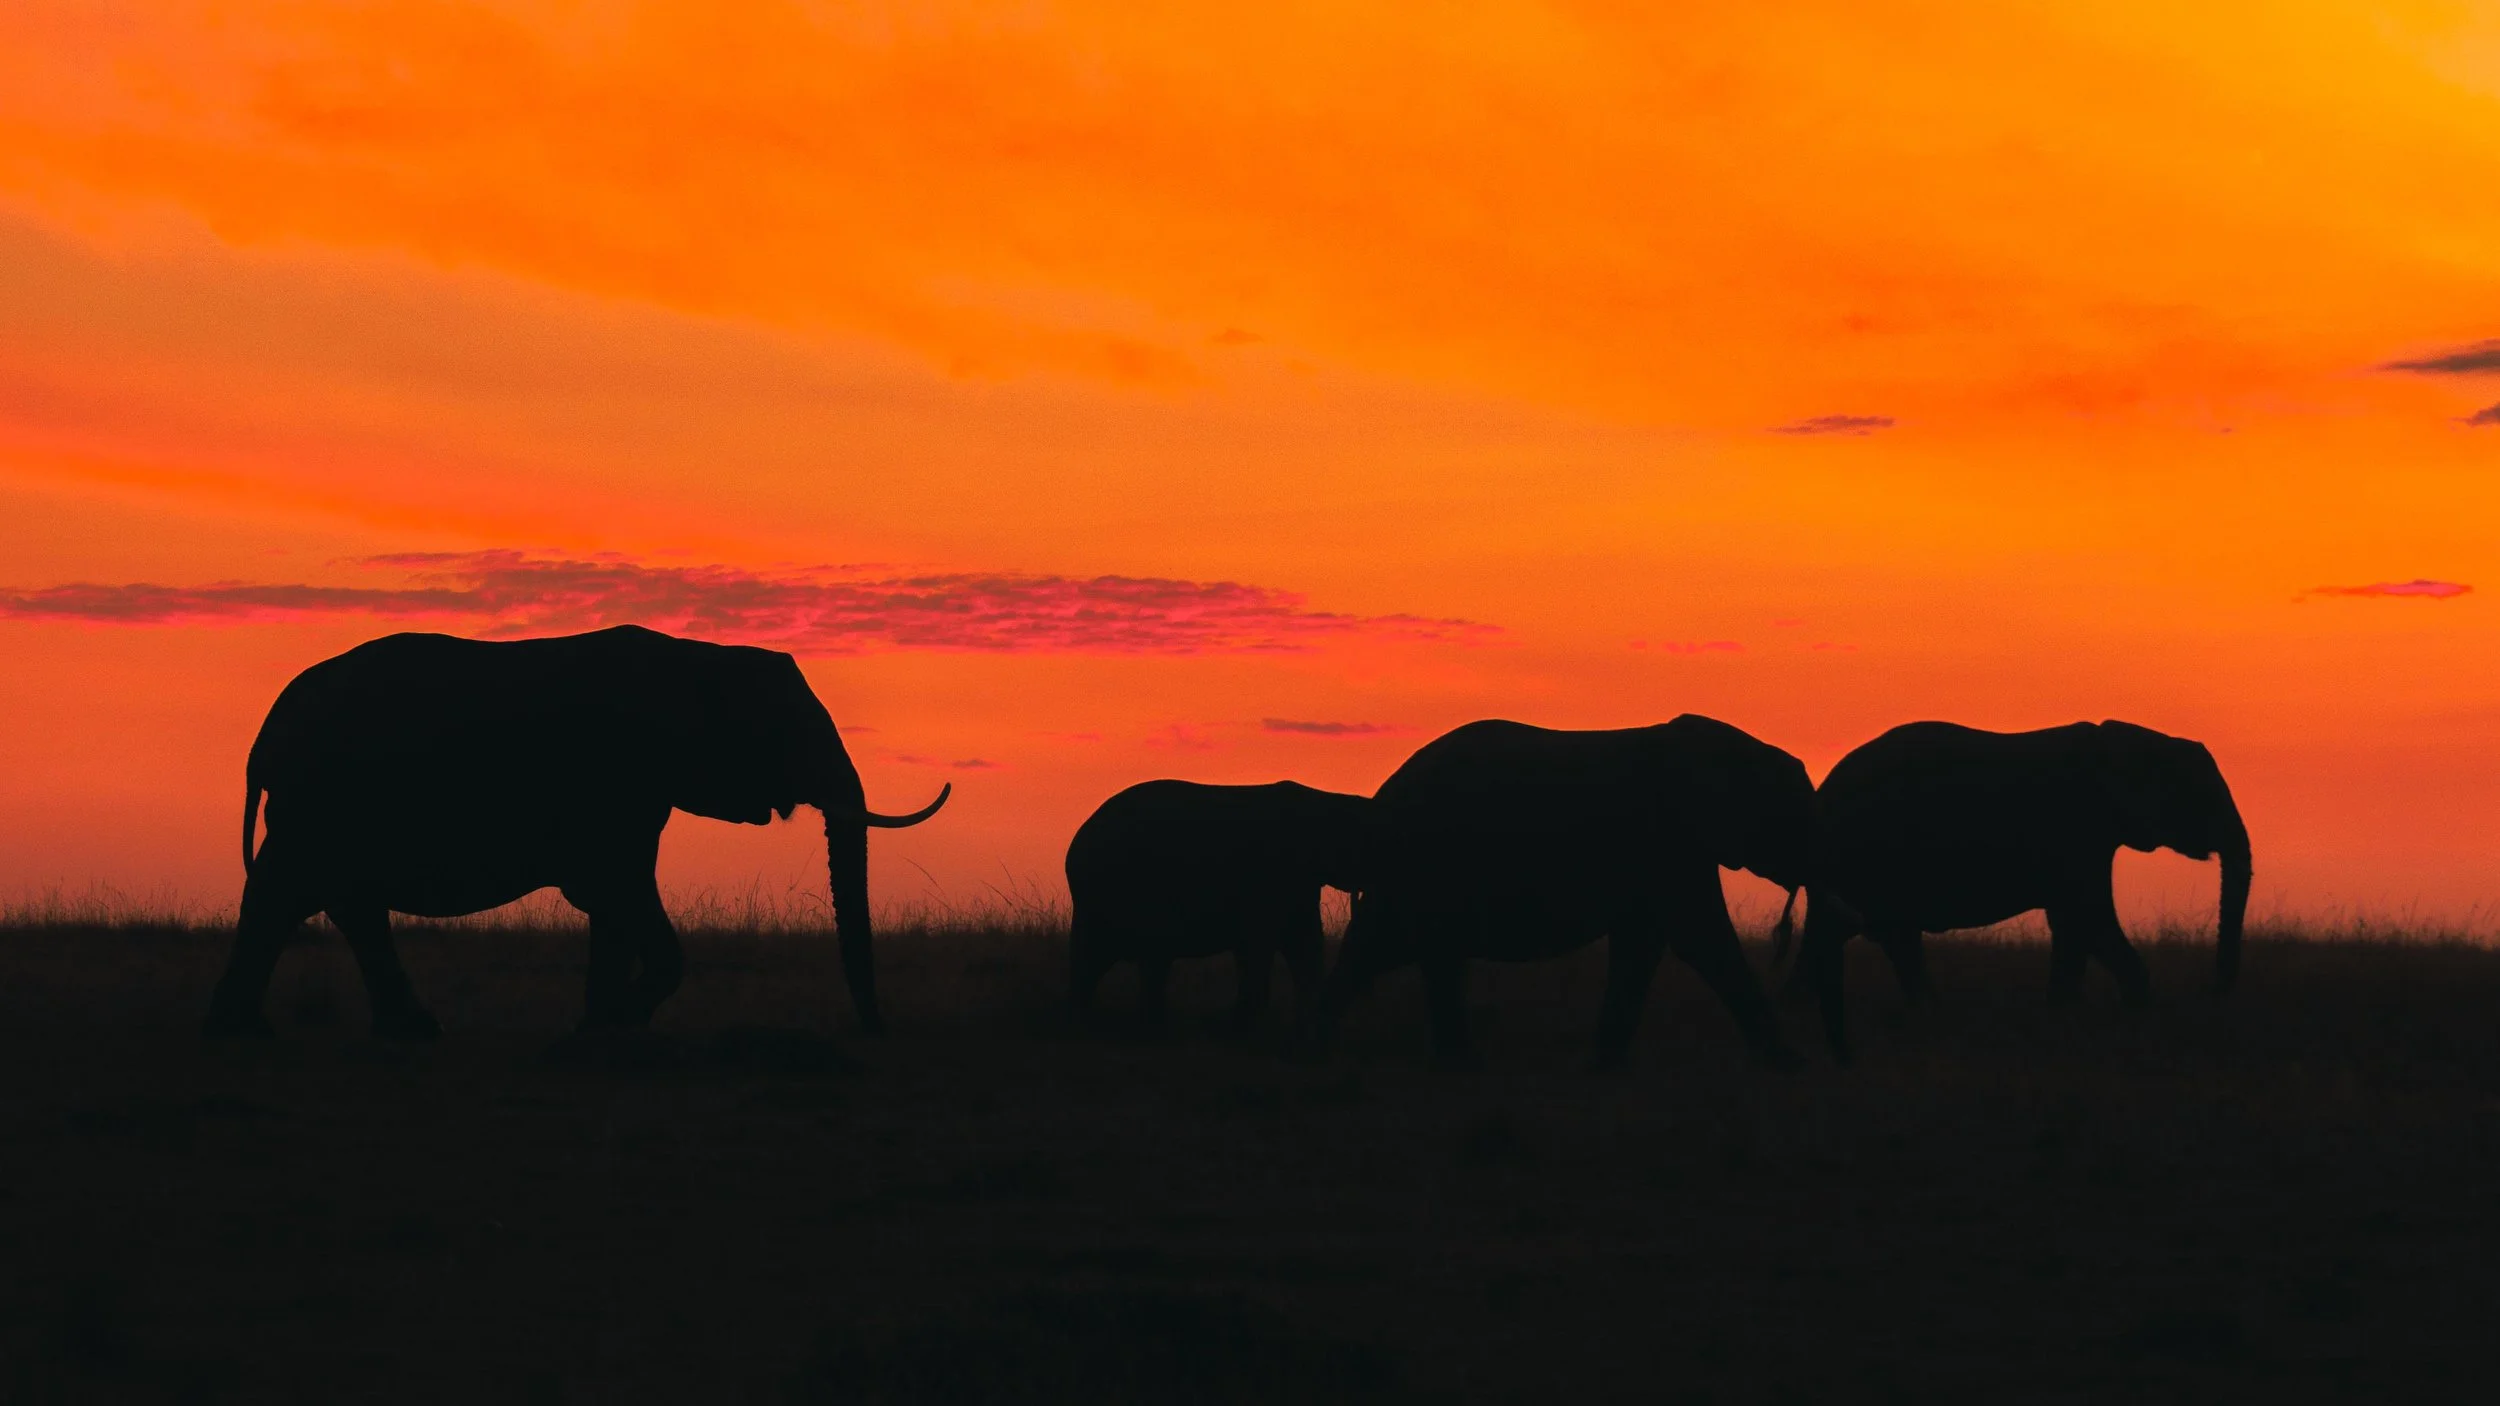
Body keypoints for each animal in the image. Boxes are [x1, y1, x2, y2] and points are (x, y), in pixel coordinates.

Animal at [201, 625, 949, 1040]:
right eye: (786, 731)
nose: (876, 1033)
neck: (700, 656)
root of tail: (271, 725)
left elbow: (613, 905)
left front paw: (596, 1029)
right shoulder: (617, 774)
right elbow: (616, 889)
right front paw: (613, 1023)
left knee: (329, 902)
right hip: (322, 798)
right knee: (293, 895)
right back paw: (254, 1037)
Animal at [1064, 780, 1373, 1033]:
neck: (1325, 800)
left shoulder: (1300, 884)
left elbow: (1303, 946)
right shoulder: (1272, 877)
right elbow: (1263, 945)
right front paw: (1242, 1026)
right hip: (1118, 889)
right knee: (1111, 957)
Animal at [1313, 717, 1812, 1071]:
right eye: (1797, 816)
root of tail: (1385, 794)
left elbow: (1643, 945)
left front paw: (1604, 1068)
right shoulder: (1671, 842)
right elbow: (1701, 939)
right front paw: (1789, 1067)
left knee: (1399, 950)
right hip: (1424, 861)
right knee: (1400, 948)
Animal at [1790, 719, 2252, 1062]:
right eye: (2200, 796)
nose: (2210, 991)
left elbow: (2073, 925)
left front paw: (2064, 1018)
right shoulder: (2077, 830)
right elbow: (2090, 918)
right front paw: (2132, 1016)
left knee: (1866, 937)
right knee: (1855, 934)